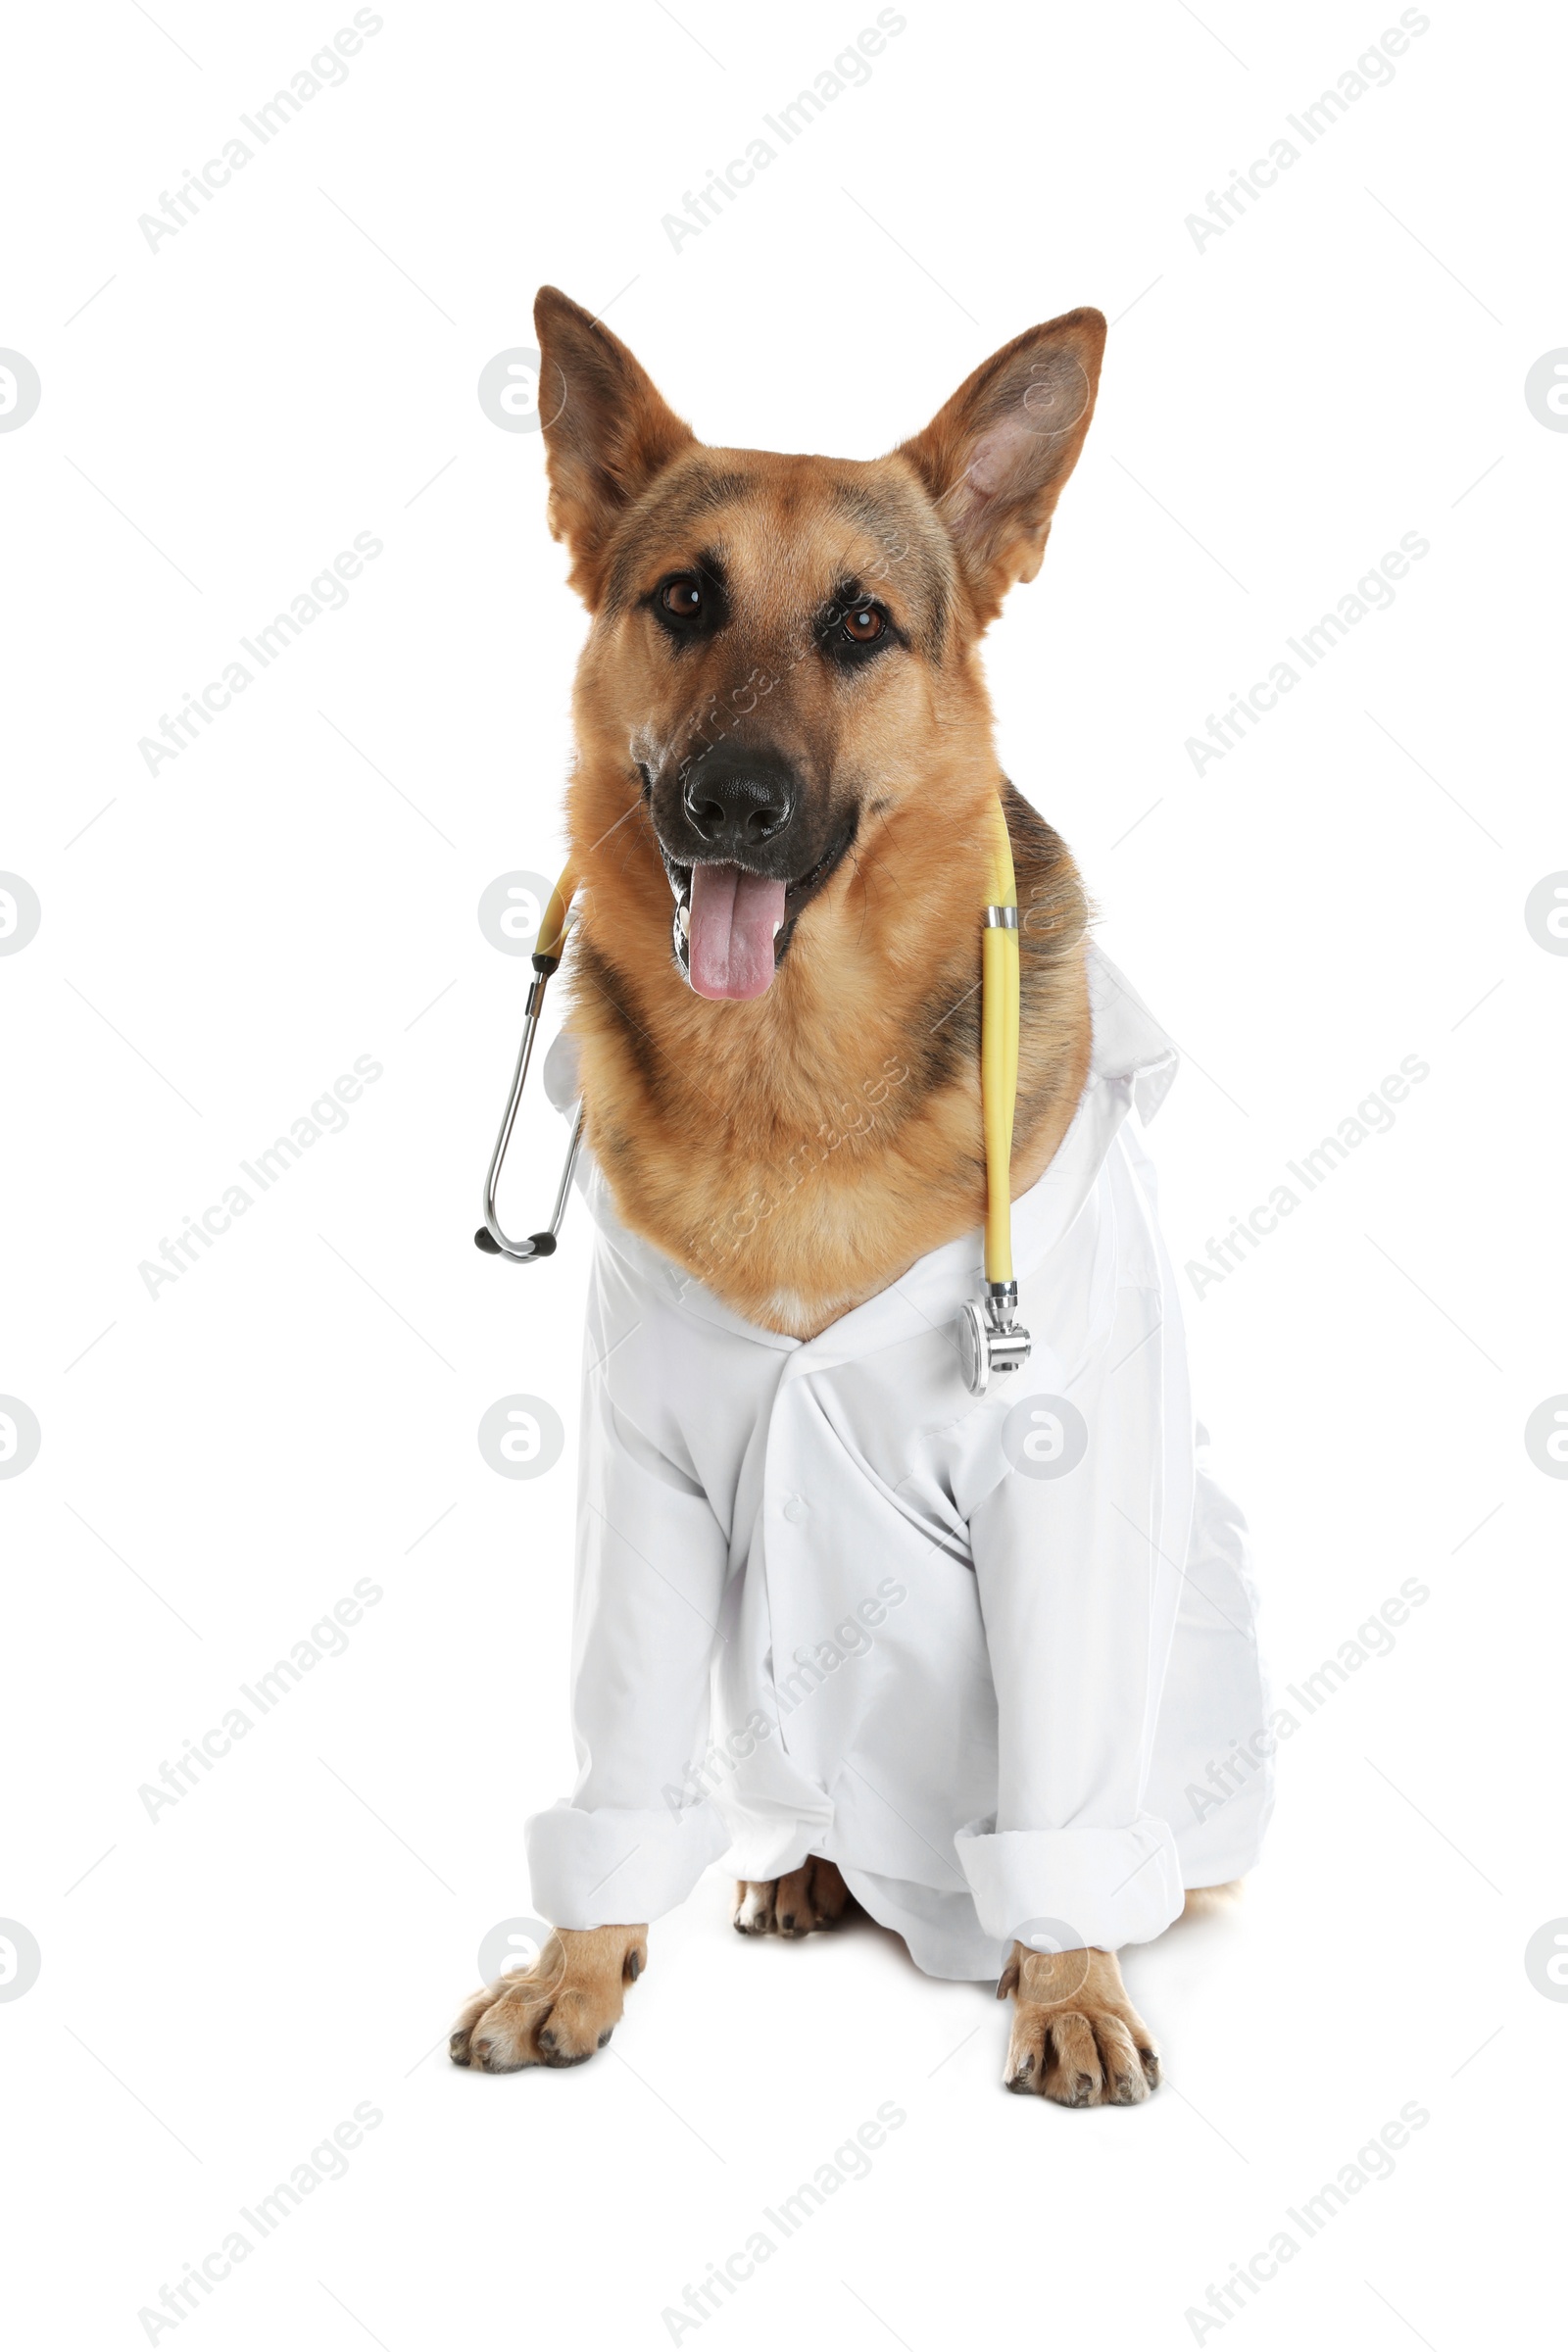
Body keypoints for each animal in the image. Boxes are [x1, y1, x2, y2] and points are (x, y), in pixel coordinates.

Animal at [446, 284, 1269, 2107]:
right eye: (686, 599)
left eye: (863, 626)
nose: (735, 804)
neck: (787, 1075)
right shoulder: (646, 1491)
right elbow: (618, 1754)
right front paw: (579, 1966)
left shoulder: (1057, 1503)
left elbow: (1061, 1790)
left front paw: (1072, 1989)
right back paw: (812, 1871)